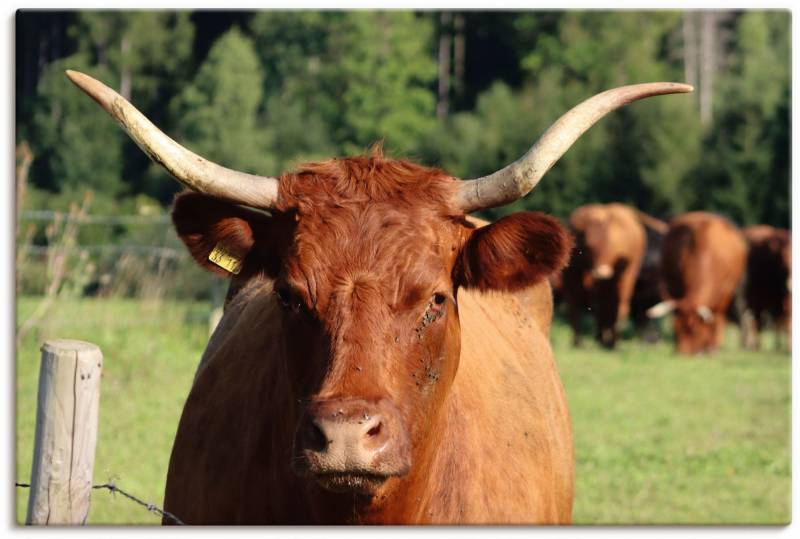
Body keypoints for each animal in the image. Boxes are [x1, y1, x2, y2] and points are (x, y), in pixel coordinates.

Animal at [648, 213, 748, 356]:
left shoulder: (725, 292)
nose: (682, 353)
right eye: (675, 327)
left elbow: (716, 319)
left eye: (694, 330)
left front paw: (711, 348)